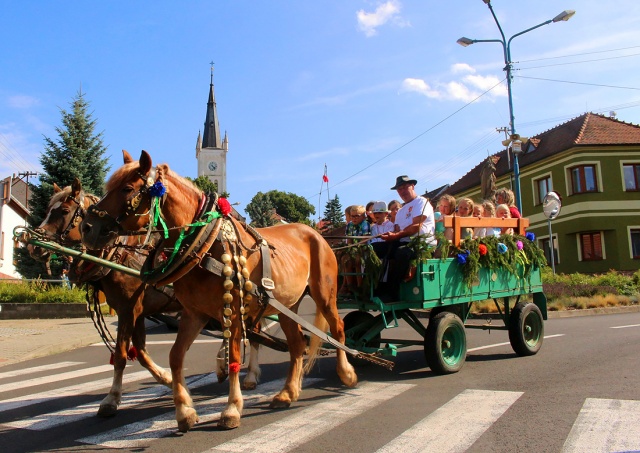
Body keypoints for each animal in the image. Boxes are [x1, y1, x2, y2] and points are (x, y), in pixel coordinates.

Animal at [30, 177, 262, 416]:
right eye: (48, 209)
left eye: (64, 210)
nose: (32, 245)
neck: (120, 253)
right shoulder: (136, 312)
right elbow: (140, 352)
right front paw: (169, 380)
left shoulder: (129, 310)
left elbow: (121, 355)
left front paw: (111, 398)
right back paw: (224, 365)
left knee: (252, 334)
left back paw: (250, 375)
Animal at [81, 150, 356, 430]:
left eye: (127, 188)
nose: (87, 228)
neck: (204, 243)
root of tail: (314, 233)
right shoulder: (193, 313)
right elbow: (175, 356)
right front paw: (184, 410)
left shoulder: (232, 311)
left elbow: (233, 355)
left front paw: (232, 408)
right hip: (287, 306)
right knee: (297, 345)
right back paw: (288, 392)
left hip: (324, 295)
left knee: (337, 329)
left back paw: (346, 373)